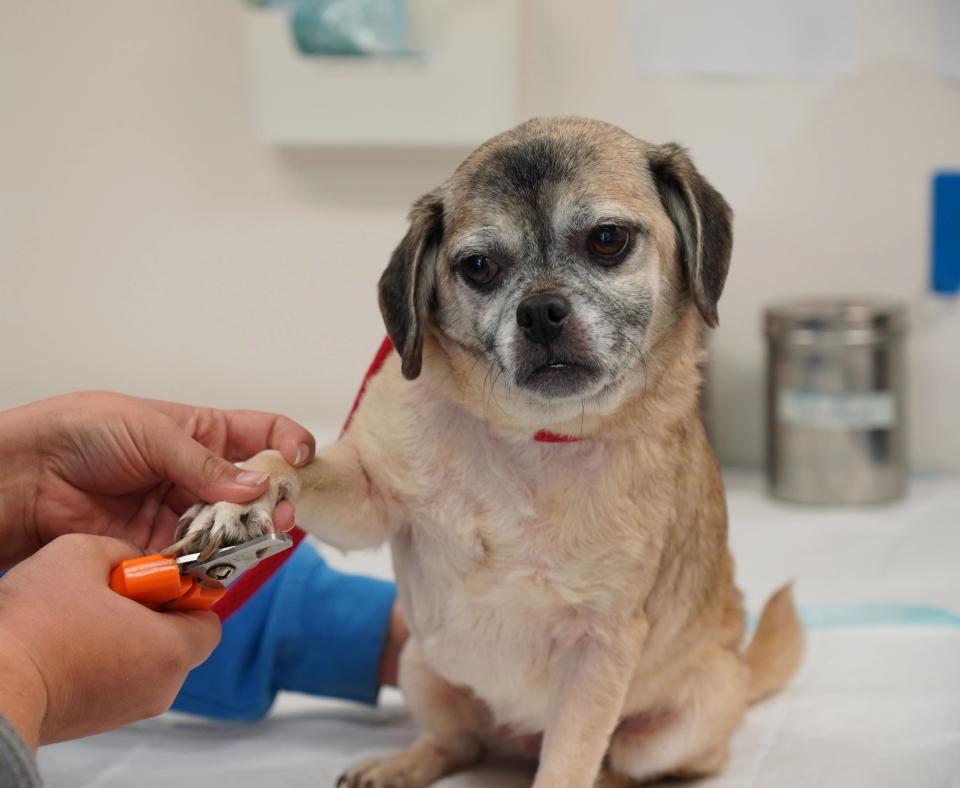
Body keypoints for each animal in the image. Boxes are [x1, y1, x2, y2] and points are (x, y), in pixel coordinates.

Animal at [176, 117, 800, 788]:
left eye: (607, 240)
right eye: (477, 267)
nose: (541, 309)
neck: (532, 439)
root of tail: (518, 739)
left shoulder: (599, 649)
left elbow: (568, 767)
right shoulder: (367, 502)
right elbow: (289, 464)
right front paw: (241, 500)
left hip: (682, 723)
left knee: (617, 765)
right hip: (419, 665)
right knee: (459, 745)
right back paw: (402, 764)